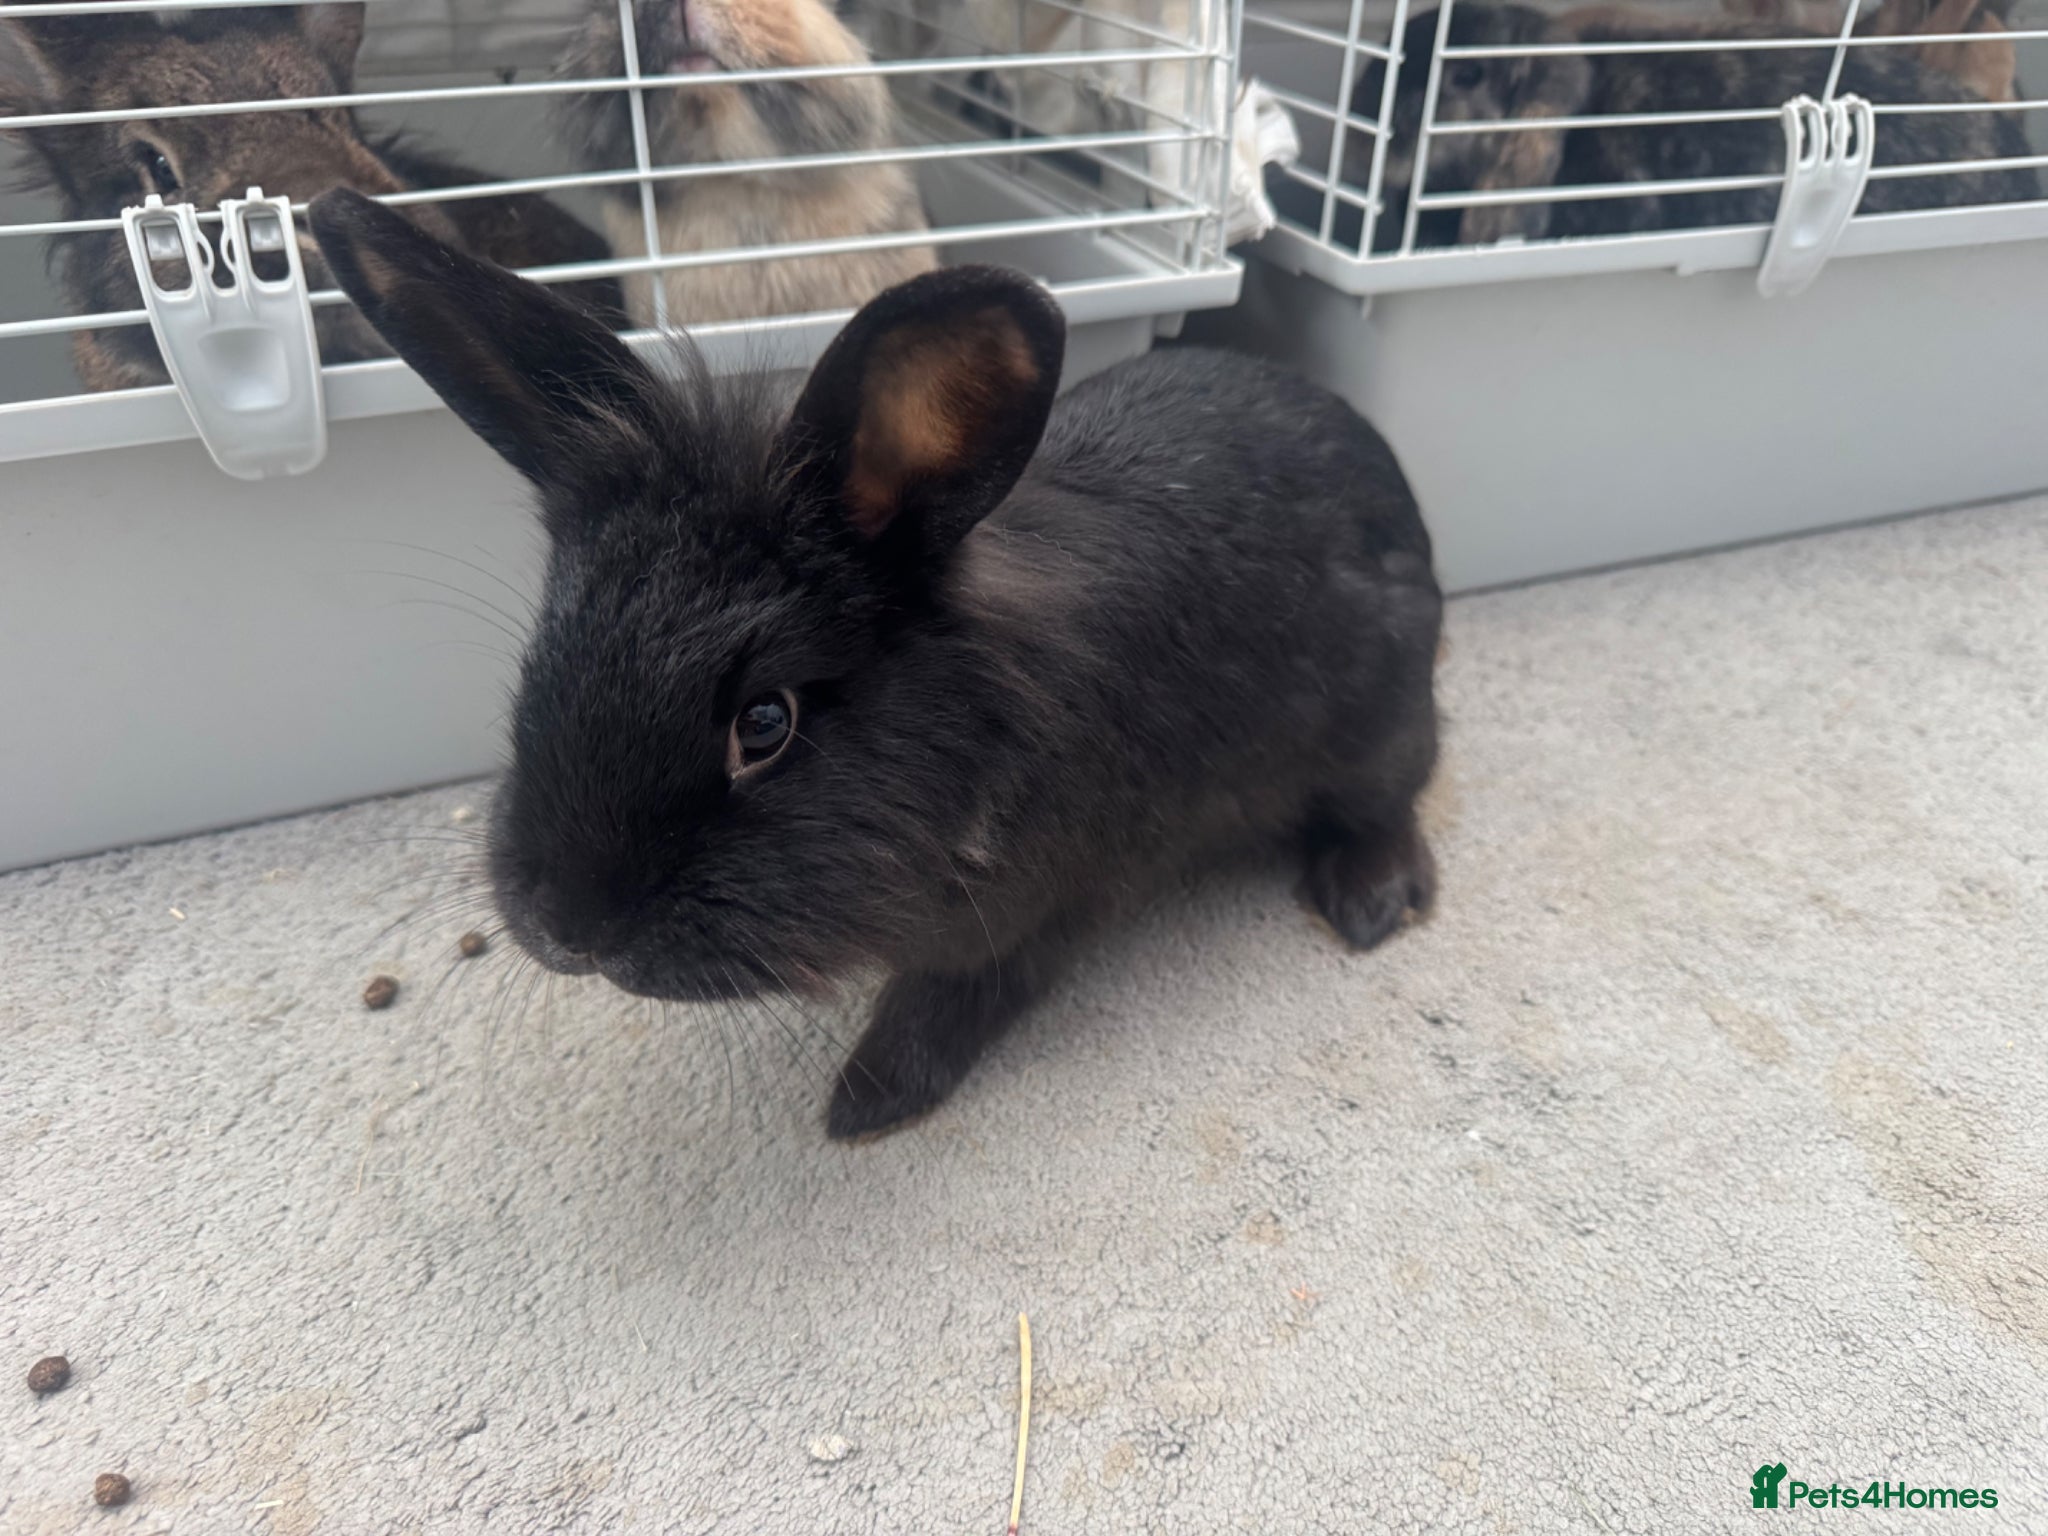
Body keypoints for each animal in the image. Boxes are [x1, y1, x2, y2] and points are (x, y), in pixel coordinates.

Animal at [306, 185, 1443, 1139]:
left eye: (765, 723)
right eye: (543, 657)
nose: (566, 930)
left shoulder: (1036, 913)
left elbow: (951, 1002)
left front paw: (865, 1103)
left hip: (1378, 720)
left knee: (1391, 797)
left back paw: (1370, 900)